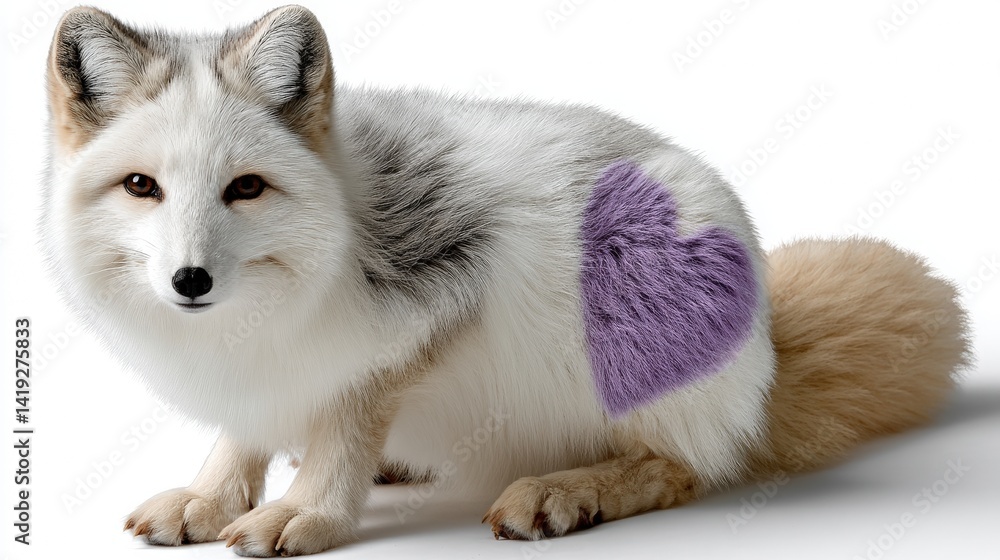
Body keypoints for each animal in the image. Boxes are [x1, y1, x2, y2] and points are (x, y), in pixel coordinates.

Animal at [40, 5, 972, 557]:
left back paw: (566, 490)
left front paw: (307, 510)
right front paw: (212, 495)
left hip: (633, 294)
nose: (190, 280)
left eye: (245, 188)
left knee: (688, 466)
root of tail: (769, 352)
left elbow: (347, 421)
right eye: (141, 187)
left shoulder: (437, 303)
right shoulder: (263, 371)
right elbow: (247, 432)